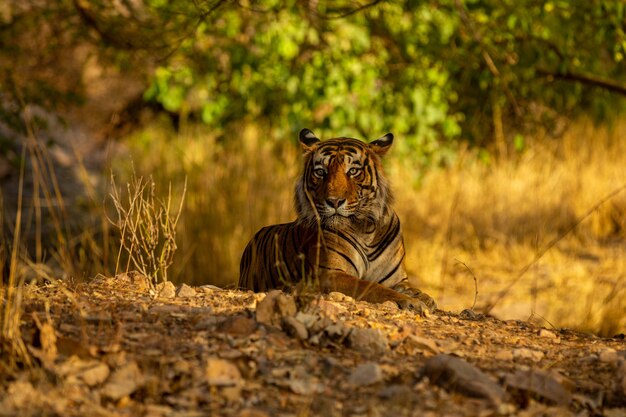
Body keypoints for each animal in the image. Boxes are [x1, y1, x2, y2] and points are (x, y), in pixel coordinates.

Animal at [236, 127, 436, 312]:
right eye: (320, 172)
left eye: (353, 171)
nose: (334, 201)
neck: (366, 230)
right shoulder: (331, 274)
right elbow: (372, 287)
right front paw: (411, 302)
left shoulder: (396, 278)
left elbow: (411, 289)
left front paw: (424, 298)